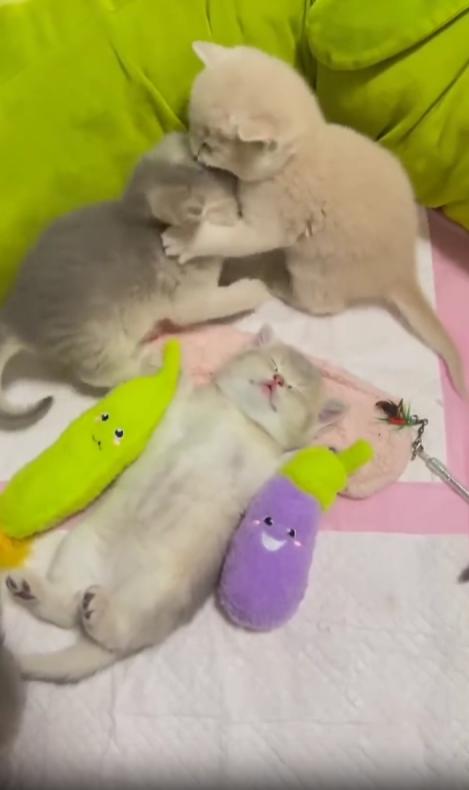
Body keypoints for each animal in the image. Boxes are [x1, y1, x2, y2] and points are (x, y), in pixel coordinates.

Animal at [0, 132, 269, 424]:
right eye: (210, 172)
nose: (232, 176)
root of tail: (14, 316)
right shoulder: (190, 301)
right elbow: (227, 299)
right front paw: (256, 289)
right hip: (98, 340)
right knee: (97, 375)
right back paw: (148, 361)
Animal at [6, 329, 344, 682]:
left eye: (296, 389)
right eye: (274, 363)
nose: (278, 380)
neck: (239, 416)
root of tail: (111, 584)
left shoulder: (263, 469)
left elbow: (287, 461)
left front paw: (326, 452)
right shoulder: (183, 404)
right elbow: (181, 386)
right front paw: (164, 362)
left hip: (158, 589)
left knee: (120, 631)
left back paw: (99, 613)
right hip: (80, 547)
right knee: (66, 608)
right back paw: (33, 590)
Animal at [162, 43, 466, 396]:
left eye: (210, 145)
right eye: (196, 133)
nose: (195, 151)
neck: (299, 153)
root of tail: (402, 272)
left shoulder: (271, 223)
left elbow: (233, 239)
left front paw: (186, 240)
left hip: (314, 271)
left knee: (324, 305)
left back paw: (278, 281)